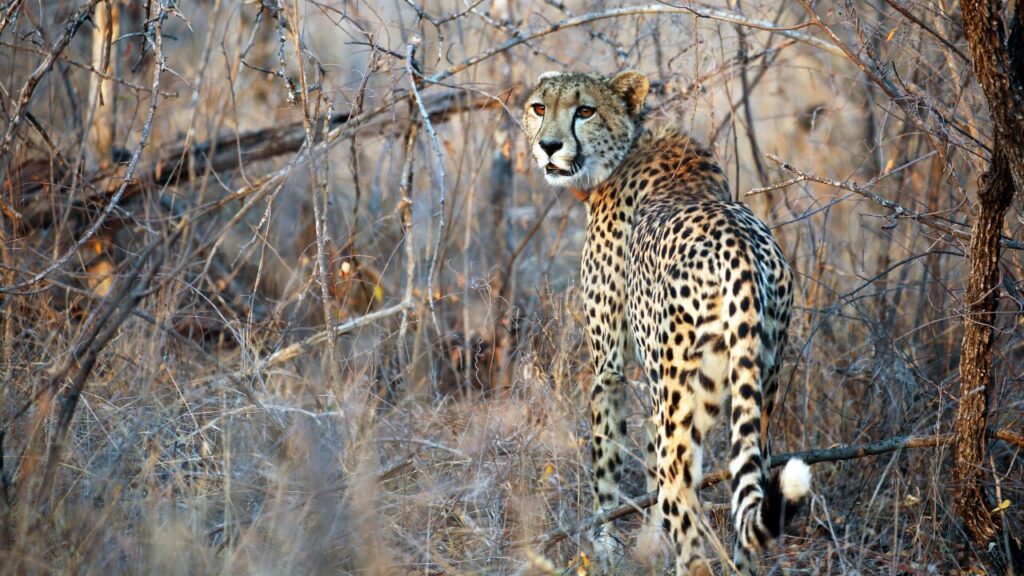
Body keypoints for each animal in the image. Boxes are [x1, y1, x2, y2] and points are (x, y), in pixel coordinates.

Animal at [523, 70, 812, 575]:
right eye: (540, 107)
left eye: (584, 110)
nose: (549, 146)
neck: (626, 150)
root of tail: (738, 247)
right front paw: (647, 541)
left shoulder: (610, 366)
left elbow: (607, 458)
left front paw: (605, 541)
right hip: (757, 388)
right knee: (744, 498)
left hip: (680, 392)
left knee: (682, 492)